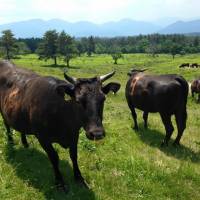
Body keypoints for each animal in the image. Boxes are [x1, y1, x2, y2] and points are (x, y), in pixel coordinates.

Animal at [0, 60, 117, 193]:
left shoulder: (74, 135)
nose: (97, 133)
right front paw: (60, 182)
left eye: (103, 99)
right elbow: (54, 158)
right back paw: (11, 141)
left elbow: (74, 156)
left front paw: (79, 178)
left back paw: (25, 143)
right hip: (3, 112)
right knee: (7, 125)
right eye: (78, 101)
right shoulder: (43, 138)